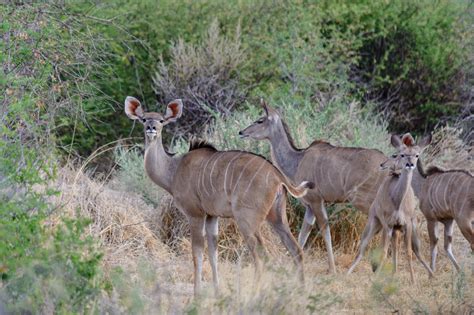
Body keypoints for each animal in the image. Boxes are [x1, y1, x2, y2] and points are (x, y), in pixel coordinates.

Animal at [124, 96, 312, 296]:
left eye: (161, 120)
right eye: (143, 119)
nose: (151, 128)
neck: (174, 170)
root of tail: (277, 176)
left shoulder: (195, 214)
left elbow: (197, 252)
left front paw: (197, 293)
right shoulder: (212, 216)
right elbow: (213, 252)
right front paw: (216, 290)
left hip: (247, 220)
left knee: (262, 256)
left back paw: (255, 294)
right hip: (277, 217)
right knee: (296, 250)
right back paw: (300, 291)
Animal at [239, 100, 386, 274]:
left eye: (260, 120)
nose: (241, 132)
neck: (297, 160)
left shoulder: (316, 200)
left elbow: (324, 230)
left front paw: (332, 269)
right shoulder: (309, 207)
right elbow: (303, 235)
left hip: (362, 200)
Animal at [348, 135, 434, 282]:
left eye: (417, 155)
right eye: (402, 154)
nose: (410, 164)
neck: (397, 200)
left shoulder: (406, 225)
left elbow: (409, 253)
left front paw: (413, 281)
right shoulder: (388, 225)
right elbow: (383, 252)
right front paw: (376, 278)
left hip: (406, 230)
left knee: (414, 251)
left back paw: (430, 275)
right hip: (374, 224)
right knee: (362, 248)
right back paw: (346, 273)